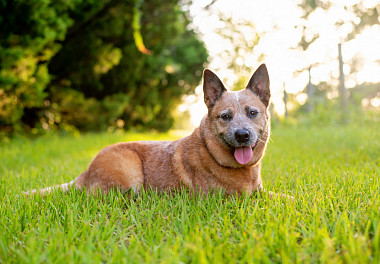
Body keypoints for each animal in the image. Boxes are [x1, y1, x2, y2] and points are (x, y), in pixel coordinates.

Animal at [27, 64, 276, 197]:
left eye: (252, 112)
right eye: (225, 117)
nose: (242, 135)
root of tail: (85, 172)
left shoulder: (260, 191)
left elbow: (281, 196)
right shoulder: (227, 199)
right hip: (130, 169)